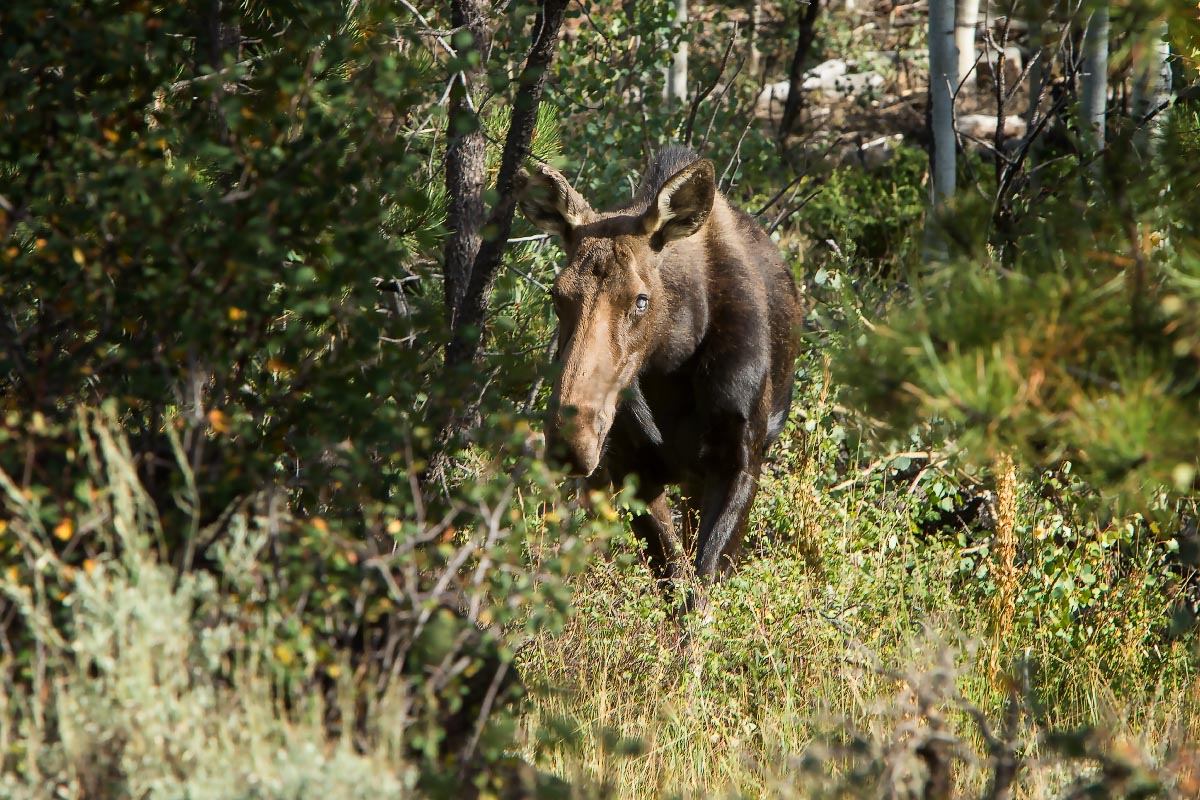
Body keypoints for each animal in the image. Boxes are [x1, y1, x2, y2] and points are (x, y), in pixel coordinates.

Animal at [520, 148, 801, 587]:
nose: (573, 441)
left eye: (641, 299)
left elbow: (703, 584)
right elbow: (674, 577)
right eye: (556, 294)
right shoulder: (631, 467)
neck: (672, 363)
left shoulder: (741, 458)